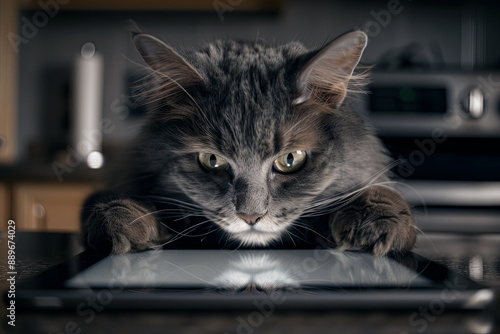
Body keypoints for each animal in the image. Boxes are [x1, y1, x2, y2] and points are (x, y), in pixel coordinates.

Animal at [82, 30, 416, 256]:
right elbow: (108, 203)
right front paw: (125, 219)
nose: (251, 217)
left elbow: (383, 193)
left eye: (290, 160)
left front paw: (372, 222)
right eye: (212, 160)